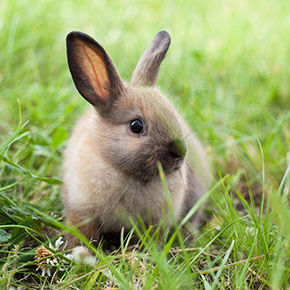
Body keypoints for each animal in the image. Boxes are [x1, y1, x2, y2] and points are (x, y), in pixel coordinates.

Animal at [62, 29, 211, 248]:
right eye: (136, 126)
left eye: (173, 114)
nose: (180, 153)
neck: (128, 173)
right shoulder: (81, 212)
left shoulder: (155, 222)